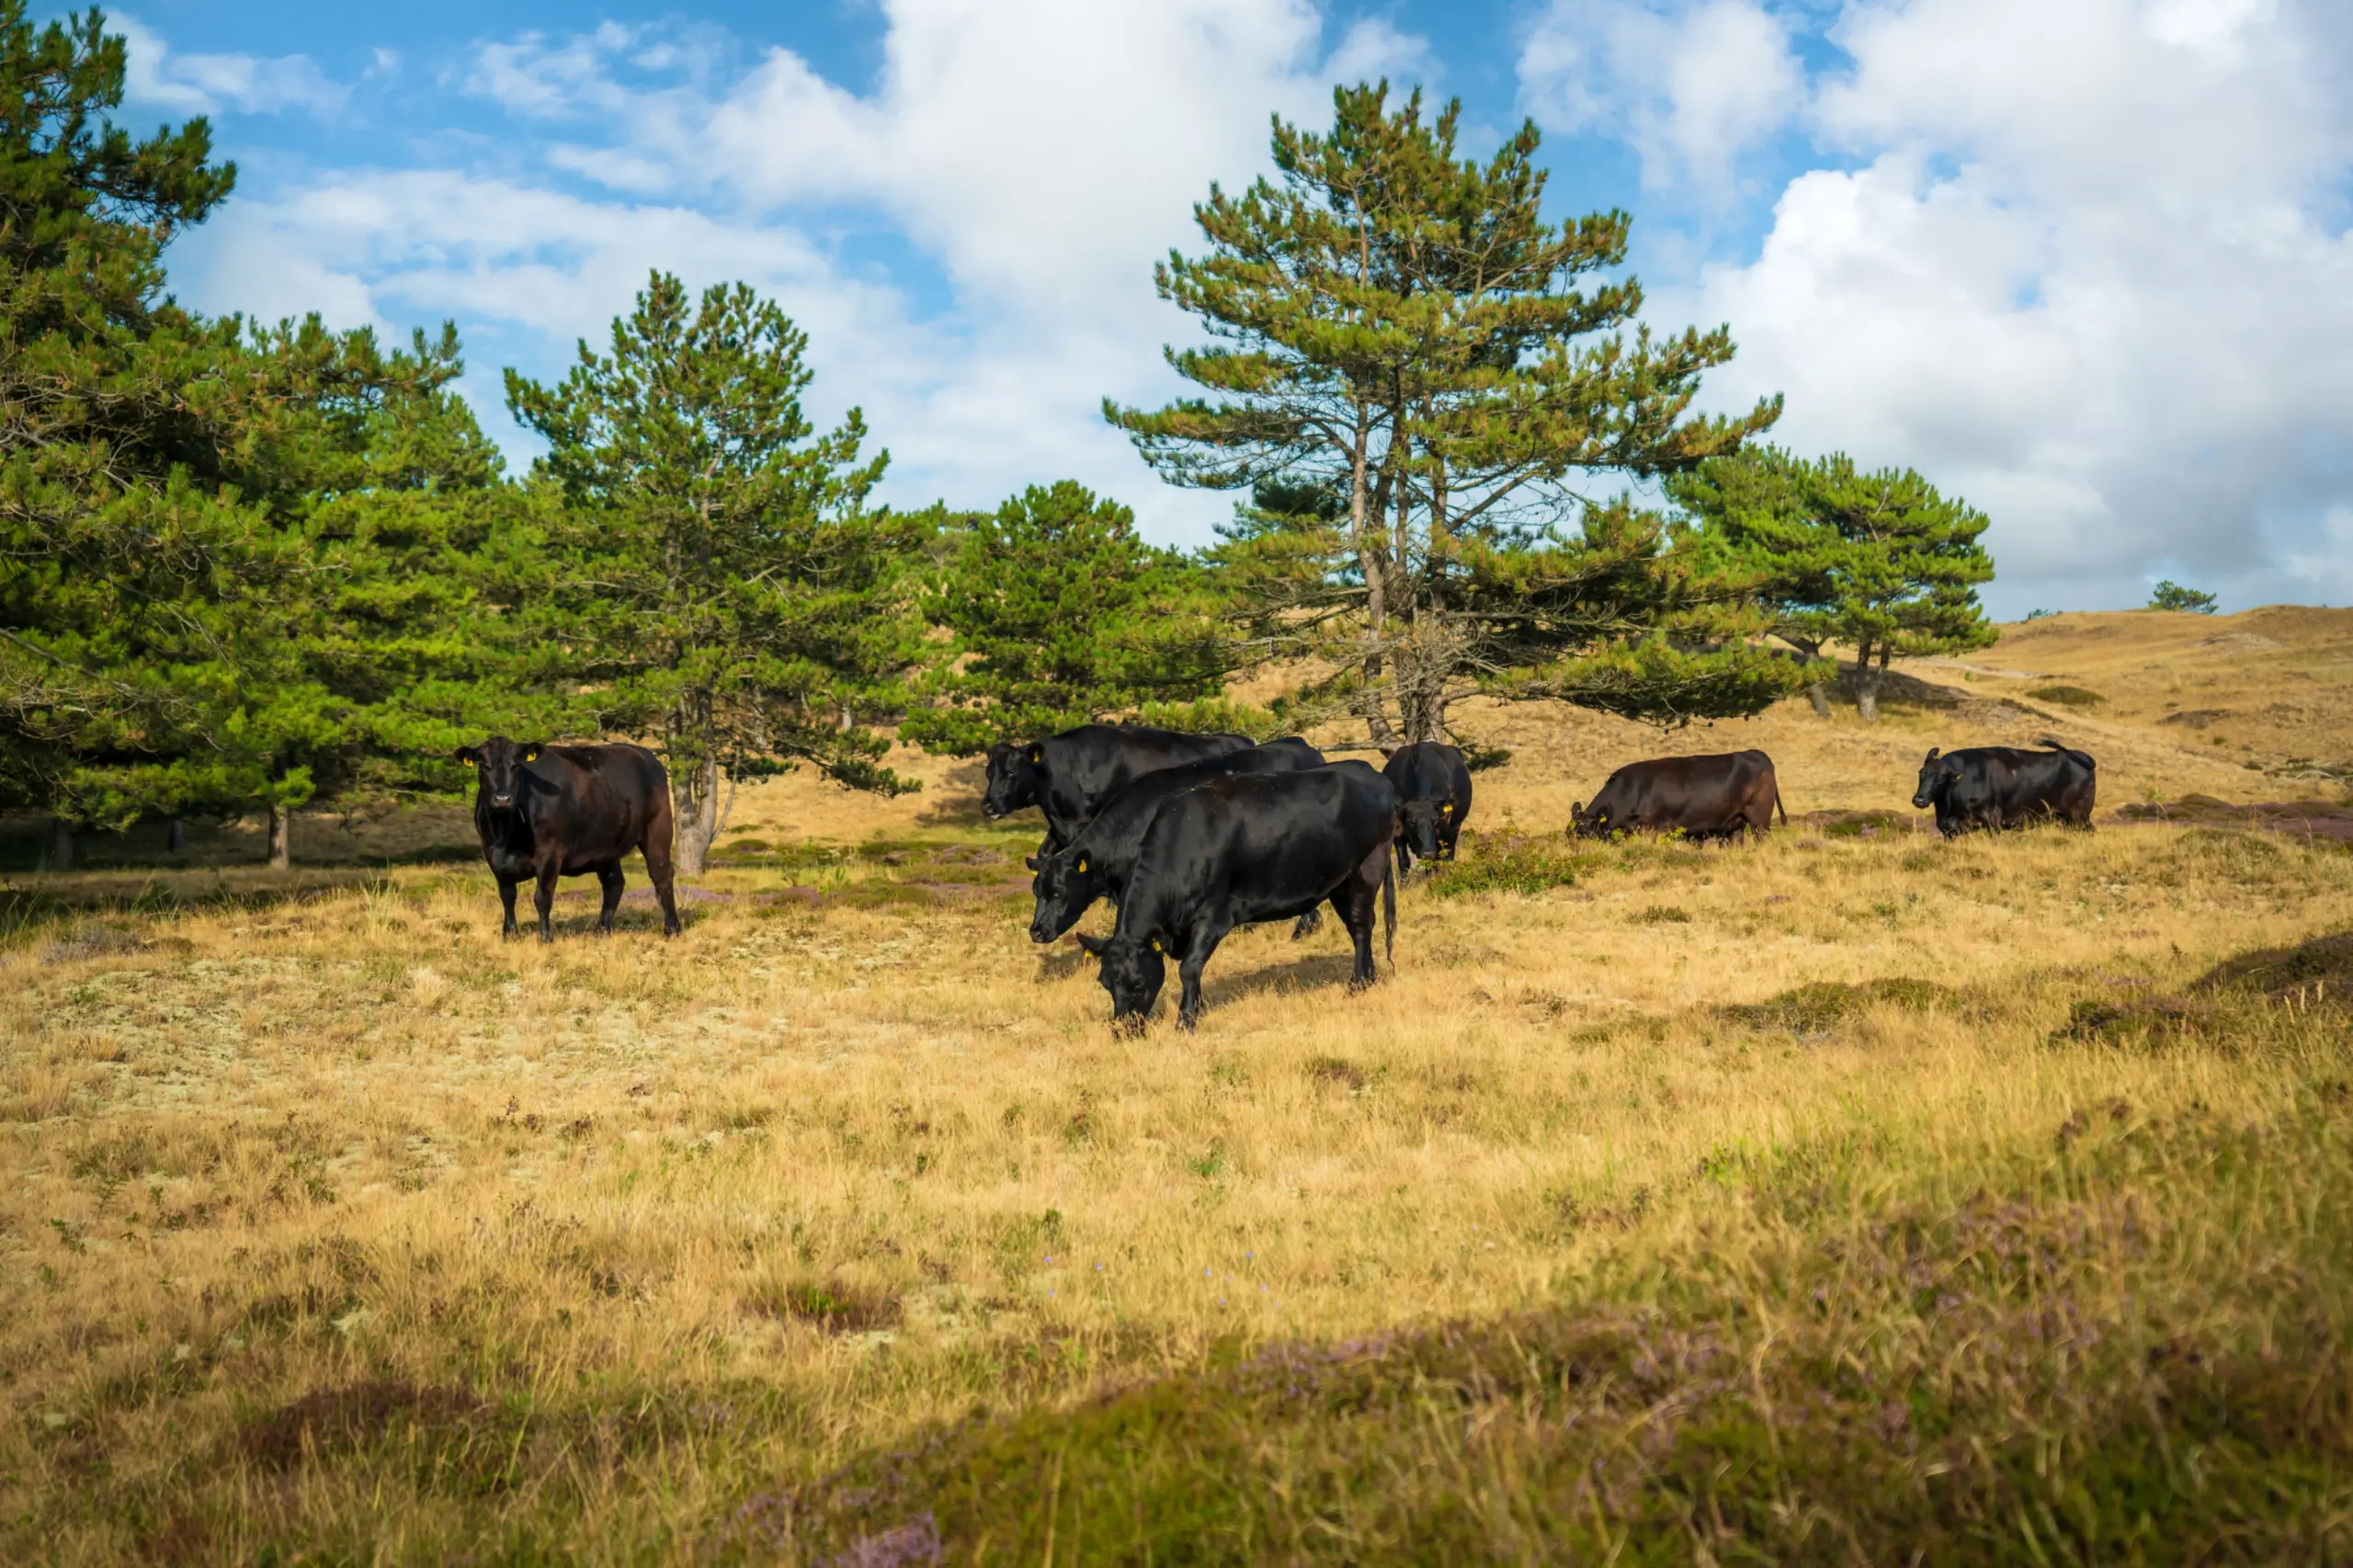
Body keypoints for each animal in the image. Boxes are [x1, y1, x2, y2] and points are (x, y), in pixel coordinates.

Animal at [455, 736, 682, 941]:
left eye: (516, 765)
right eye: (484, 765)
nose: (503, 798)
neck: (506, 834)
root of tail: (645, 755)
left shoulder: (550, 853)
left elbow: (542, 897)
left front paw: (545, 938)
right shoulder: (493, 855)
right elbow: (507, 896)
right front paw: (510, 935)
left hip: (658, 828)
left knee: (661, 874)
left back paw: (672, 929)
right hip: (606, 847)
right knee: (614, 883)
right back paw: (601, 930)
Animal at [1093, 761, 1397, 1032]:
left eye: (1137, 983)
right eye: (1105, 983)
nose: (1124, 1030)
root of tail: (1373, 775)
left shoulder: (1213, 917)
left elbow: (1189, 968)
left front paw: (1186, 1020)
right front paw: (1197, 1008)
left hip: (1368, 867)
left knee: (1362, 926)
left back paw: (1357, 984)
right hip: (1340, 883)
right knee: (1357, 928)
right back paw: (1369, 978)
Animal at [1383, 742, 1473, 874]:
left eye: (1435, 821)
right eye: (1411, 822)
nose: (1428, 853)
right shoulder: (1397, 832)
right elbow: (1404, 862)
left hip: (1455, 826)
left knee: (1448, 854)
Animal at [1568, 750, 1786, 842]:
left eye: (1585, 833)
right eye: (1568, 834)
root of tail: (1757, 753)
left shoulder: (1652, 828)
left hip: (1759, 819)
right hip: (1735, 825)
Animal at [1912, 739, 2096, 836]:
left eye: (1940, 780)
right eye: (1921, 774)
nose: (1919, 799)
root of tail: (2082, 756)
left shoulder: (1992, 819)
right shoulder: (1950, 831)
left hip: (2078, 814)